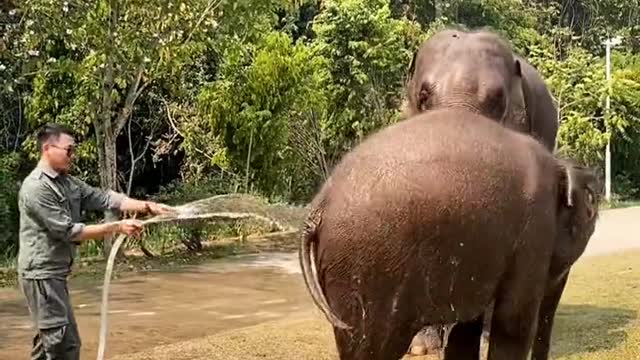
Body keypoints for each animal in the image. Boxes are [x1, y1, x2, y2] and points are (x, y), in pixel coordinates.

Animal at [300, 108, 600, 360]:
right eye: (591, 206)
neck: (558, 165)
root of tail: (318, 204)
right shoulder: (534, 231)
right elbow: (513, 319)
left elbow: (466, 326)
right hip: (365, 270)